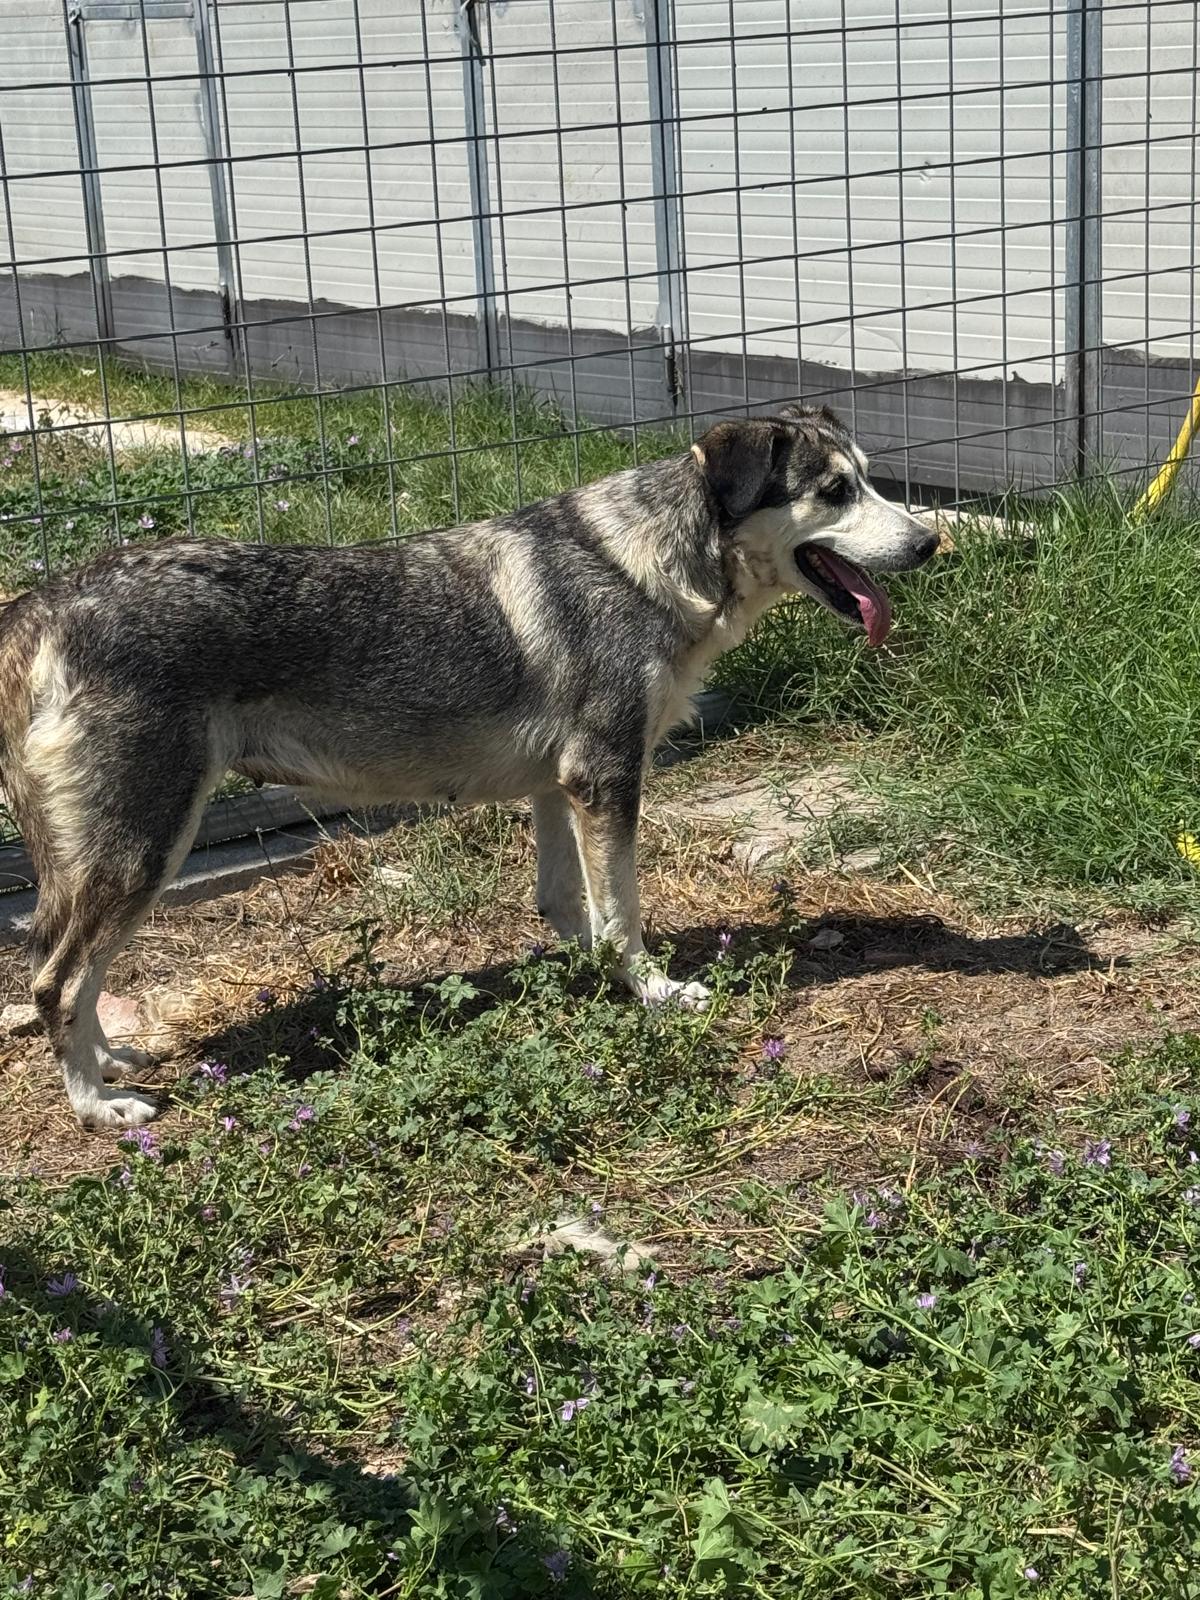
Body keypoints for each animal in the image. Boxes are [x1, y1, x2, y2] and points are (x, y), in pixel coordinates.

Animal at [0, 404, 937, 1129]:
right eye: (834, 491)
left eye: (872, 479)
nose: (932, 542)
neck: (654, 562)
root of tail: (40, 605)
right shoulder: (606, 780)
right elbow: (624, 914)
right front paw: (654, 992)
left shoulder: (557, 789)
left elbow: (571, 906)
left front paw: (595, 974)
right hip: (143, 849)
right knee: (54, 980)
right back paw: (97, 1107)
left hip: (122, 858)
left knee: (75, 975)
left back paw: (111, 1059)